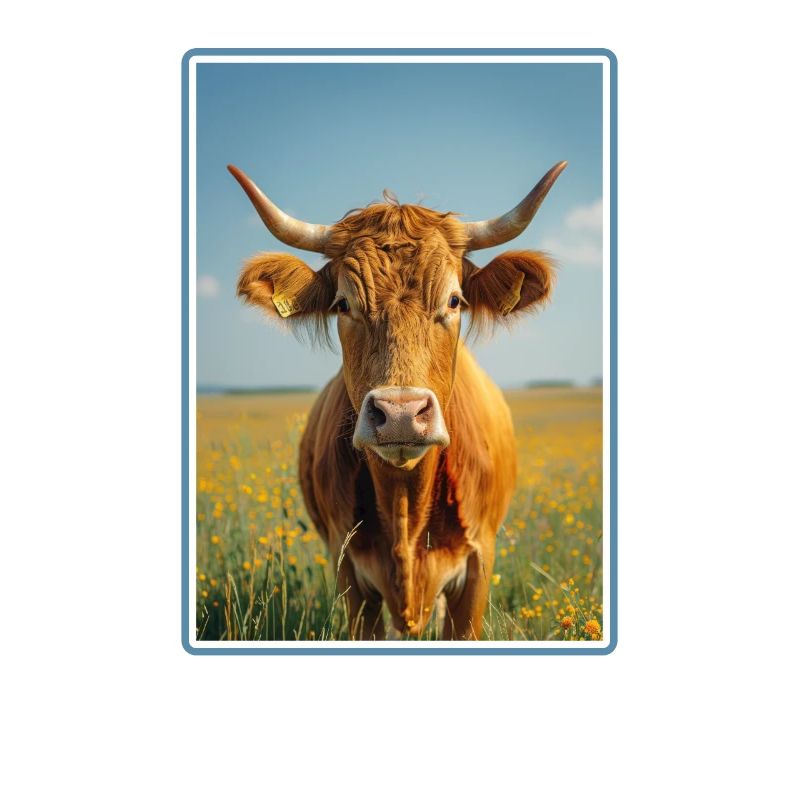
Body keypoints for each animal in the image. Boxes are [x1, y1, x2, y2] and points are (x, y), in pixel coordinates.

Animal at [229, 161, 566, 640]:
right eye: (343, 304)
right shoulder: (350, 574)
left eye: (454, 300)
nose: (401, 414)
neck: (406, 506)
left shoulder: (479, 564)